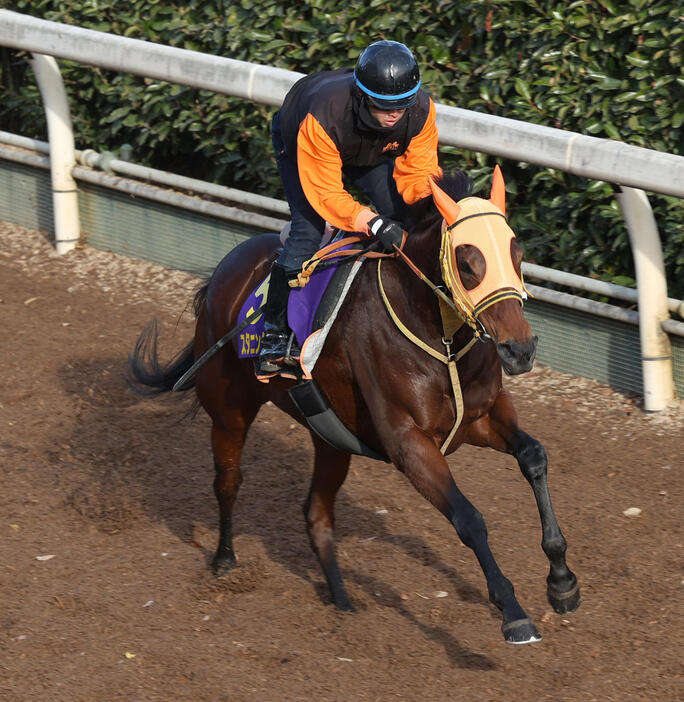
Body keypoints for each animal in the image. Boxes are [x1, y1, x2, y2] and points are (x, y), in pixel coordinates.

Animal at [130, 169, 584, 644]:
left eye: (517, 252)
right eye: (466, 261)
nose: (520, 349)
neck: (439, 334)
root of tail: (226, 269)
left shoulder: (478, 418)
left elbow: (533, 456)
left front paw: (562, 582)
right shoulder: (409, 443)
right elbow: (469, 518)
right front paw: (513, 612)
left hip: (331, 437)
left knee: (316, 513)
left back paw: (343, 600)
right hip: (229, 411)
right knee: (228, 483)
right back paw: (224, 560)